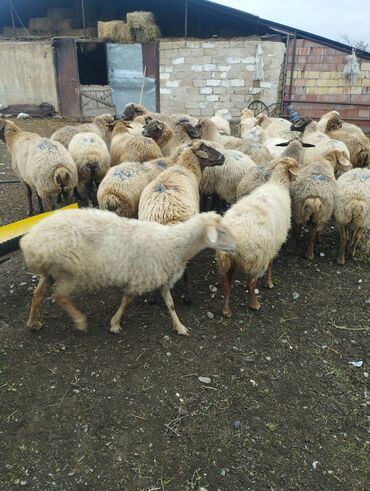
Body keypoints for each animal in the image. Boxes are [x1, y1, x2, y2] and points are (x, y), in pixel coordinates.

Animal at [21, 208, 234, 334]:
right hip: (70, 273)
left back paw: (33, 323)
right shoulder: (140, 278)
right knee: (59, 296)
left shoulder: (161, 278)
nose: (236, 246)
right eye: (221, 231)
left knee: (37, 295)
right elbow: (126, 301)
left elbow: (171, 304)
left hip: (50, 271)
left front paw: (180, 327)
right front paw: (115, 324)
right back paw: (80, 321)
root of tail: (31, 241)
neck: (174, 246)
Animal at [217, 159, 298, 320]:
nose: (296, 179)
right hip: (255, 259)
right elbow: (271, 264)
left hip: (230, 263)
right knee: (251, 284)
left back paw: (226, 311)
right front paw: (269, 283)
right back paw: (254, 304)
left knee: (227, 284)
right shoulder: (272, 246)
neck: (278, 183)